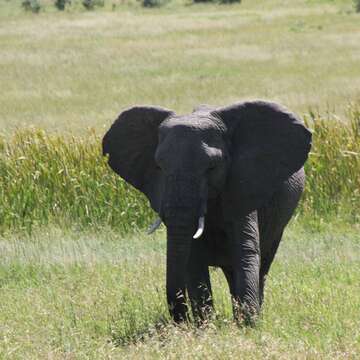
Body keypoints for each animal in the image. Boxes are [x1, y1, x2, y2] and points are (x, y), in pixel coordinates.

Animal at [102, 100, 312, 324]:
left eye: (211, 167)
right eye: (158, 166)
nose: (181, 321)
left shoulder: (242, 185)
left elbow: (245, 249)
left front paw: (247, 324)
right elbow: (193, 258)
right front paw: (207, 325)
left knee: (263, 262)